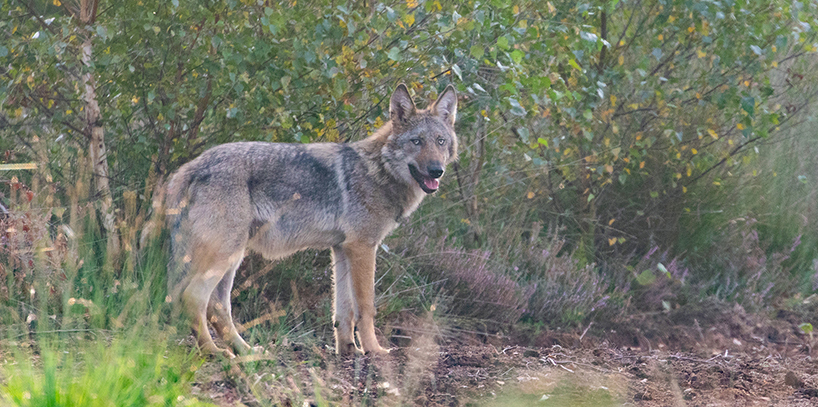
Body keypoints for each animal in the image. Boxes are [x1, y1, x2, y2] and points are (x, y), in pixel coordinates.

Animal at [163, 85, 456, 356]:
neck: (378, 171)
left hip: (233, 258)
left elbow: (344, 311)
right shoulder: (363, 247)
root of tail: (191, 166)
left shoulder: (342, 249)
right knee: (194, 298)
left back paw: (246, 351)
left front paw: (348, 351)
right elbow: (366, 307)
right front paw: (374, 351)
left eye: (440, 141)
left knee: (218, 307)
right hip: (224, 256)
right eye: (416, 141)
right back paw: (213, 352)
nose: (437, 170)